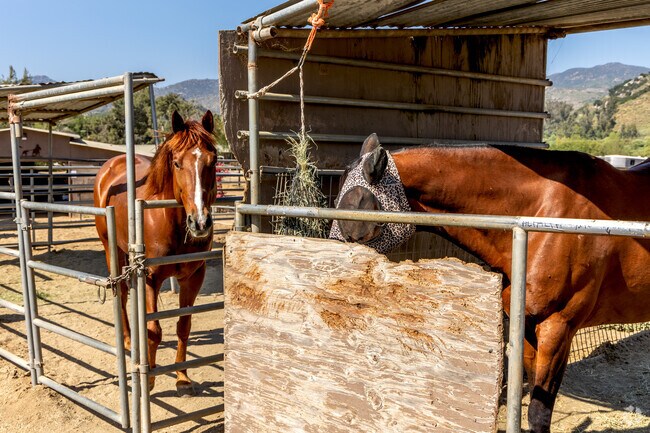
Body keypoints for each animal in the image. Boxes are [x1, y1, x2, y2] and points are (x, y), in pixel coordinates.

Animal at [94, 110, 218, 395]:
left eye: (214, 160)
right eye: (177, 163)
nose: (200, 223)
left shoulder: (193, 277)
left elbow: (183, 326)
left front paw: (182, 377)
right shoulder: (150, 278)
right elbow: (154, 330)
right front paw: (148, 380)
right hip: (111, 249)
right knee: (122, 295)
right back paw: (129, 341)